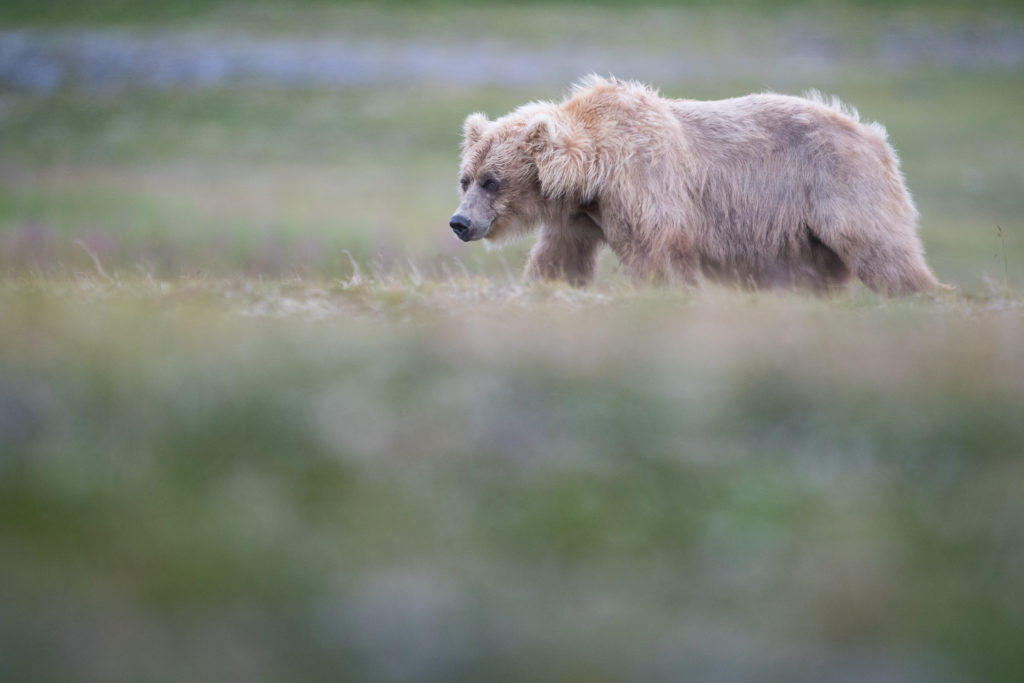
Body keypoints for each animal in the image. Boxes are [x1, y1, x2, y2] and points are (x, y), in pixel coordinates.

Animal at [452, 74, 946, 294]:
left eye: (492, 181)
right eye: (465, 180)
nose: (459, 223)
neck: (595, 167)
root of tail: (874, 136)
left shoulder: (646, 182)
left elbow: (661, 250)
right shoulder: (580, 214)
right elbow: (560, 257)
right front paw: (545, 285)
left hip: (839, 182)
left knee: (877, 245)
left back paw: (924, 291)